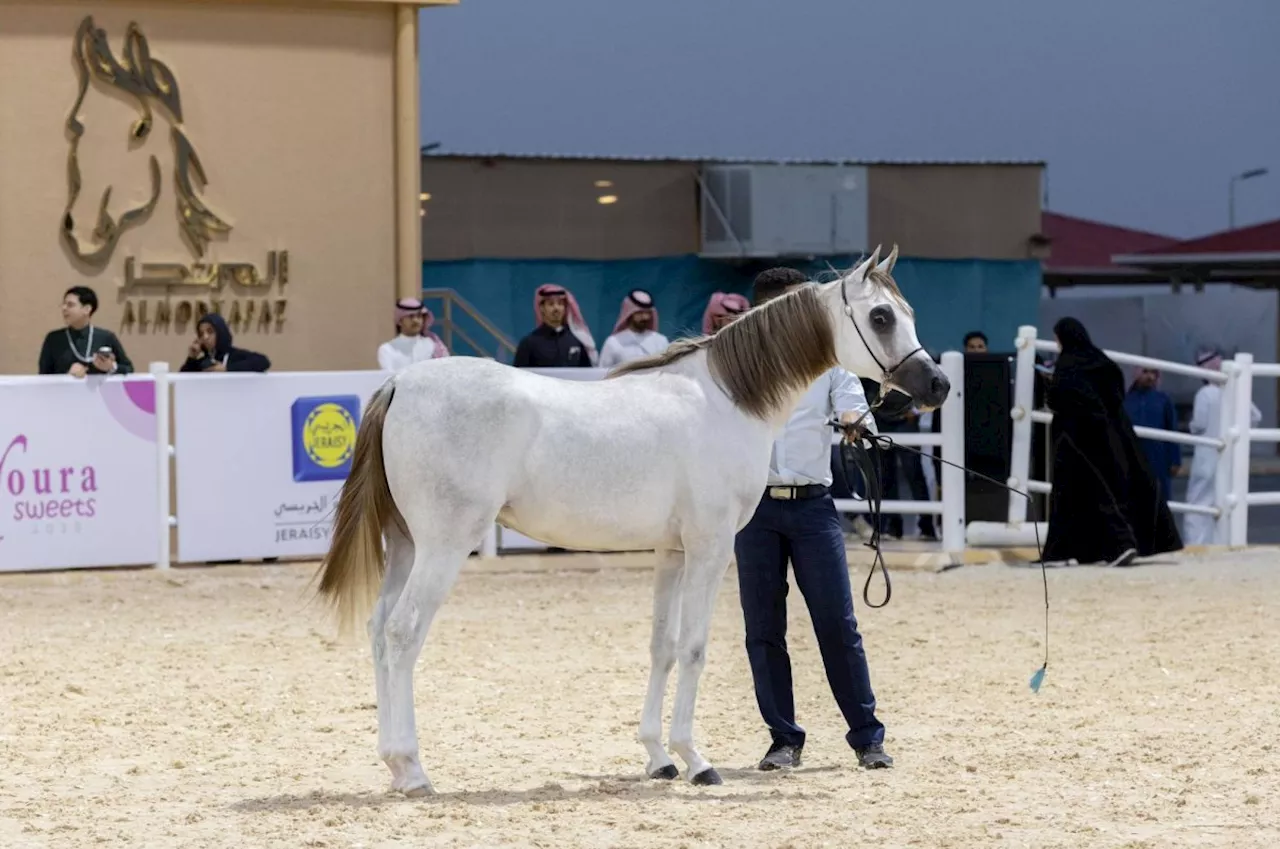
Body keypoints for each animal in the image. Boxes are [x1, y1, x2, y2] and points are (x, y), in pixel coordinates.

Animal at [314, 245, 947, 799]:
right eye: (882, 316)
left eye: (910, 313)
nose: (936, 385)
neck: (726, 398)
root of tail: (401, 383)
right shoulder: (710, 547)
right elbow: (693, 647)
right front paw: (697, 761)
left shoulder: (672, 553)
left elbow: (661, 647)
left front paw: (659, 757)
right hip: (443, 546)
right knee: (403, 633)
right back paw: (414, 771)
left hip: (405, 545)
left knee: (378, 630)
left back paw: (394, 766)